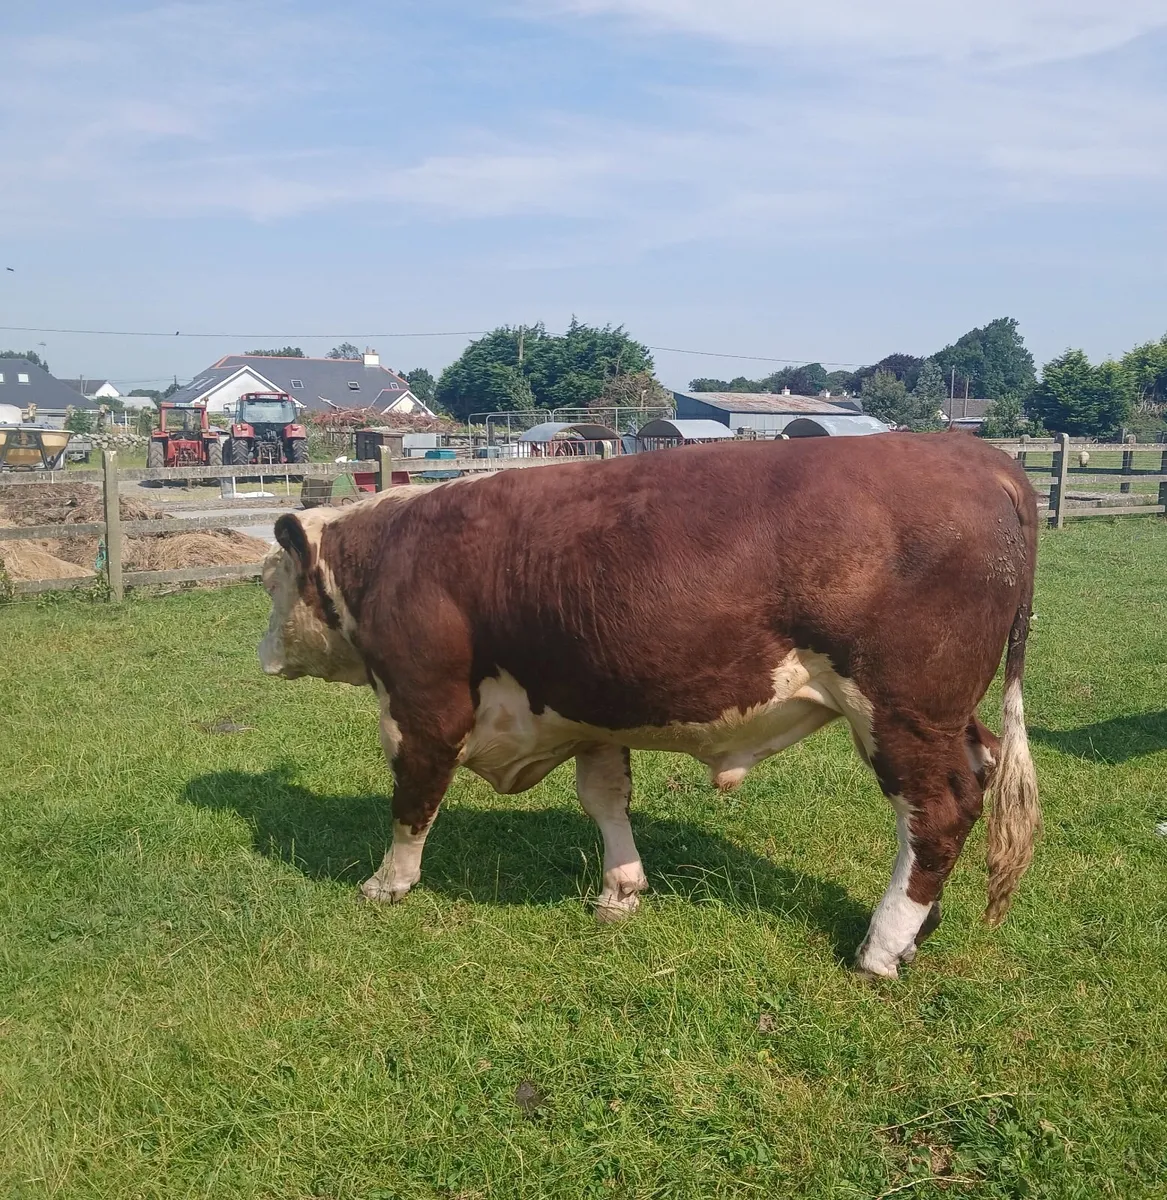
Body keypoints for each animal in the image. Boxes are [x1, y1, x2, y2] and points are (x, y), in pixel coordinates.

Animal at [258, 432, 1040, 978]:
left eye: (268, 582)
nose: (260, 649)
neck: (385, 559)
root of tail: (972, 454)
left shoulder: (422, 707)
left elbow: (412, 804)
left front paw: (386, 885)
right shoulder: (590, 705)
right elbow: (604, 798)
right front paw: (621, 890)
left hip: (900, 708)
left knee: (937, 812)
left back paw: (879, 950)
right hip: (946, 714)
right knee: (975, 772)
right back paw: (919, 932)